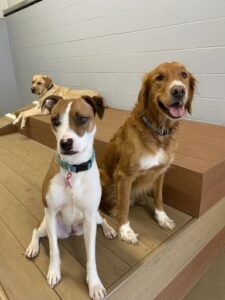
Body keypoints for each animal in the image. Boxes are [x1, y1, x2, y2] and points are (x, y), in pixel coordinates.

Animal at [25, 94, 115, 300]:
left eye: (82, 118)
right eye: (55, 121)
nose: (65, 143)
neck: (73, 170)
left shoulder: (89, 218)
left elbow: (91, 257)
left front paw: (94, 284)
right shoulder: (50, 214)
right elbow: (54, 250)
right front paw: (54, 272)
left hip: (92, 221)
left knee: (103, 219)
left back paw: (109, 230)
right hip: (49, 226)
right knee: (36, 231)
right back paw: (33, 247)